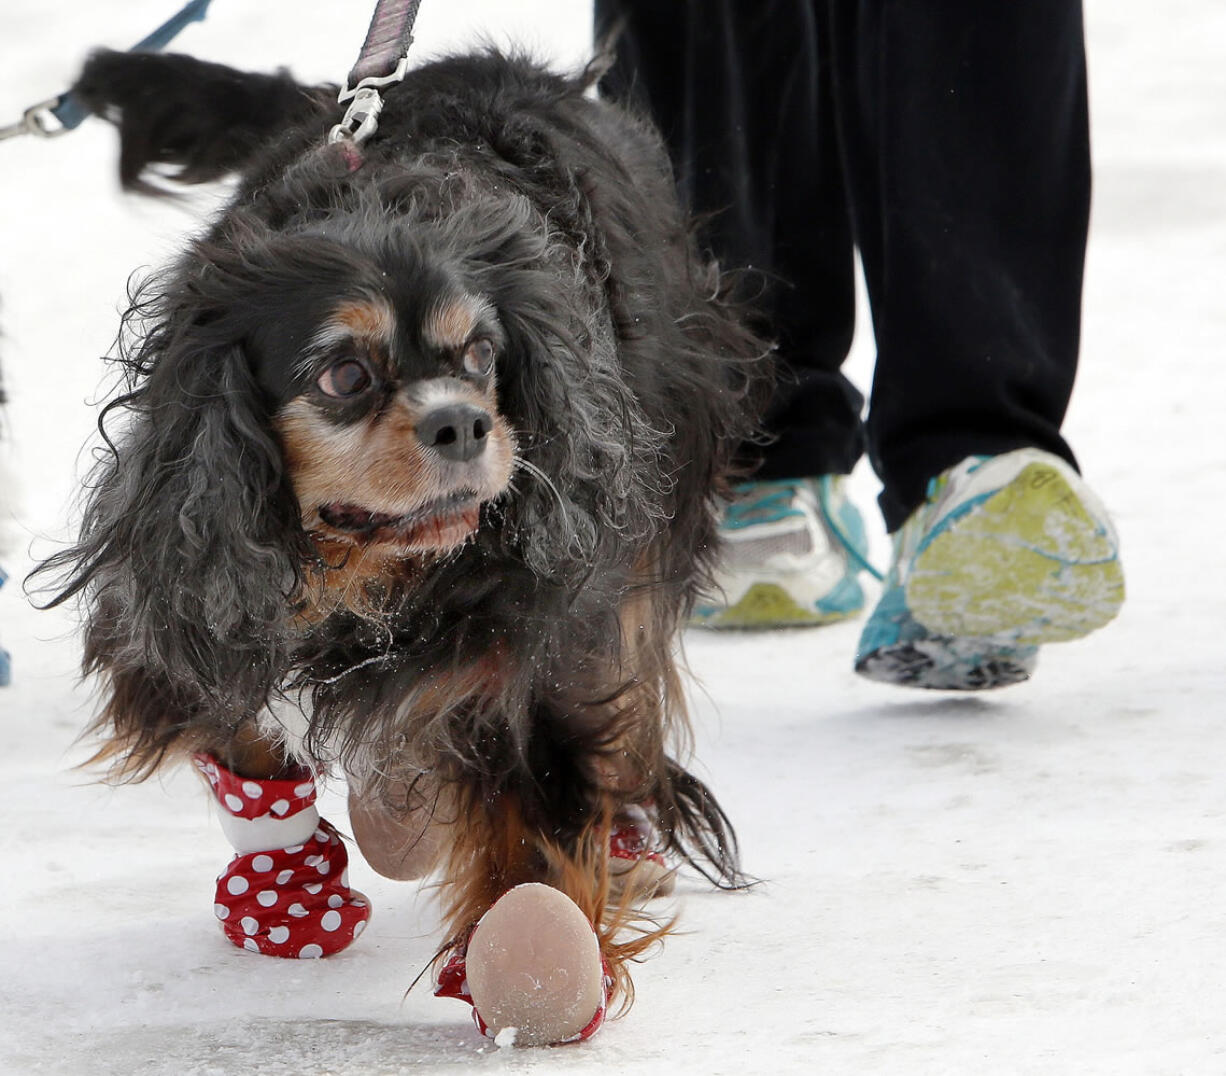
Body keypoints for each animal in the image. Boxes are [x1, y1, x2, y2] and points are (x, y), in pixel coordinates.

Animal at [43, 48, 769, 1019]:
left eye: (483, 356)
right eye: (345, 375)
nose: (462, 422)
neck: (371, 567)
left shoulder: (556, 620)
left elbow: (548, 788)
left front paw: (531, 958)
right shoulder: (201, 577)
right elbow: (243, 729)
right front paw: (288, 893)